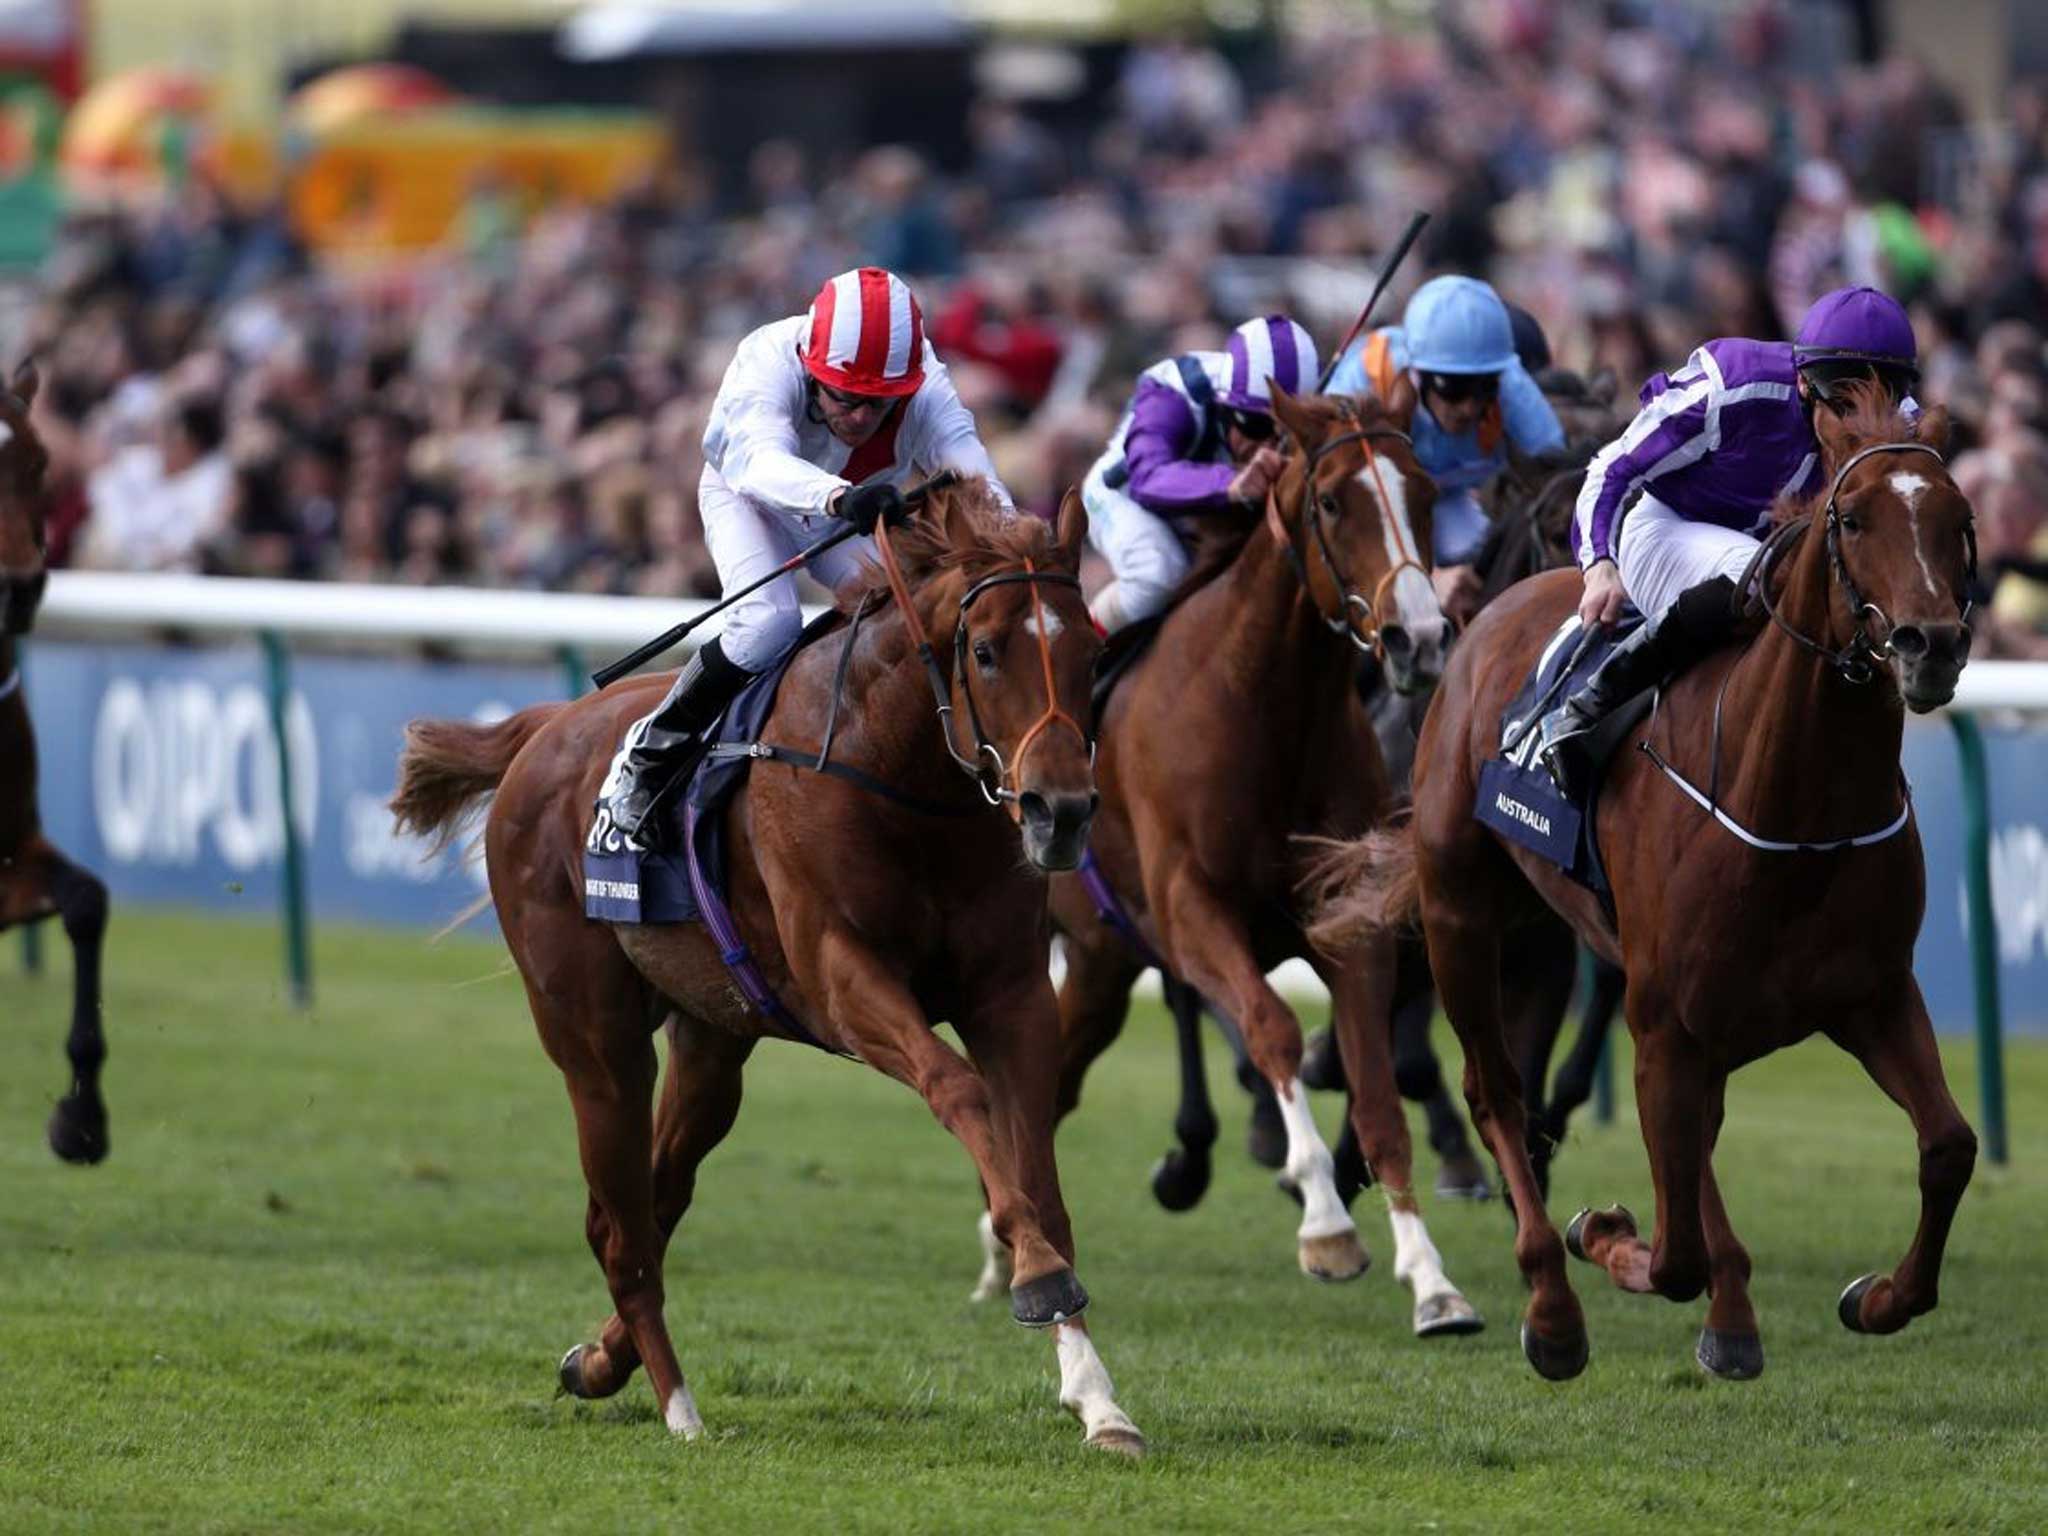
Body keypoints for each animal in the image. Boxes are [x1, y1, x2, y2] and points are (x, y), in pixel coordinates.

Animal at [385, 481, 1155, 1458]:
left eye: (1092, 650)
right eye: (984, 651)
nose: (1061, 811)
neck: (899, 772)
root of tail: (546, 729)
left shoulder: (1011, 996)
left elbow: (1039, 1176)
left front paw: (1097, 1396)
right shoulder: (843, 980)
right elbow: (962, 1094)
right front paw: (1040, 1280)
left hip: (712, 1036)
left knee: (656, 1197)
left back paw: (598, 1363)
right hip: (592, 1036)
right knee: (619, 1225)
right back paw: (679, 1407)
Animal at [995, 391, 1490, 1343]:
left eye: (1423, 490)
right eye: (1332, 501)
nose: (1418, 637)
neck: (1263, 704)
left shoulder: (1349, 920)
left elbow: (1378, 1099)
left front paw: (1433, 1281)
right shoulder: (1192, 908)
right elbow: (1271, 1028)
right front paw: (1327, 1226)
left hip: (1105, 963)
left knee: (1056, 1083)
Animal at [1310, 385, 1982, 1384]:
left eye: (1959, 520)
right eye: (1854, 518)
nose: (1928, 644)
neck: (1796, 805)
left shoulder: (1870, 994)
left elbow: (1947, 1147)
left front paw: (1877, 1297)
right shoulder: (1666, 1017)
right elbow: (1671, 1255)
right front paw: (1602, 1231)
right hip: (1461, 909)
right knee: (1495, 1089)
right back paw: (1552, 1306)